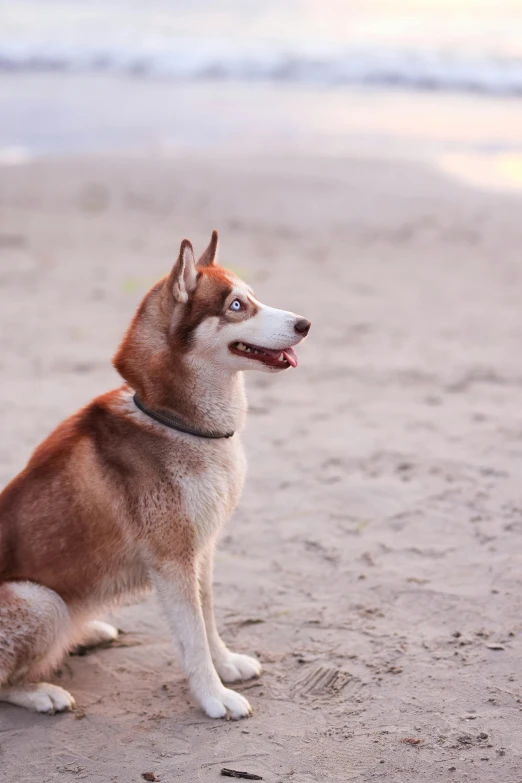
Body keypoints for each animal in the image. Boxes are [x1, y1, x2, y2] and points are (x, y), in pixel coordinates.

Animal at [0, 230, 308, 720]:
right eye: (236, 305)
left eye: (253, 297)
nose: (305, 324)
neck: (179, 423)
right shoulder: (172, 559)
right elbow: (193, 637)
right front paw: (214, 697)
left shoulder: (201, 550)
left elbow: (208, 620)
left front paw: (227, 665)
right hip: (40, 601)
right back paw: (40, 692)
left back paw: (87, 631)